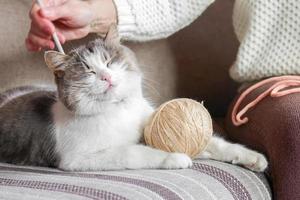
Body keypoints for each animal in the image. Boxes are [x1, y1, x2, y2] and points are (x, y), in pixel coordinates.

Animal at [0, 25, 268, 172]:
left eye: (109, 61)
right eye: (88, 71)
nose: (106, 76)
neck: (119, 110)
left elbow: (215, 142)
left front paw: (252, 157)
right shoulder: (80, 158)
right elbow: (133, 152)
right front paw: (174, 157)